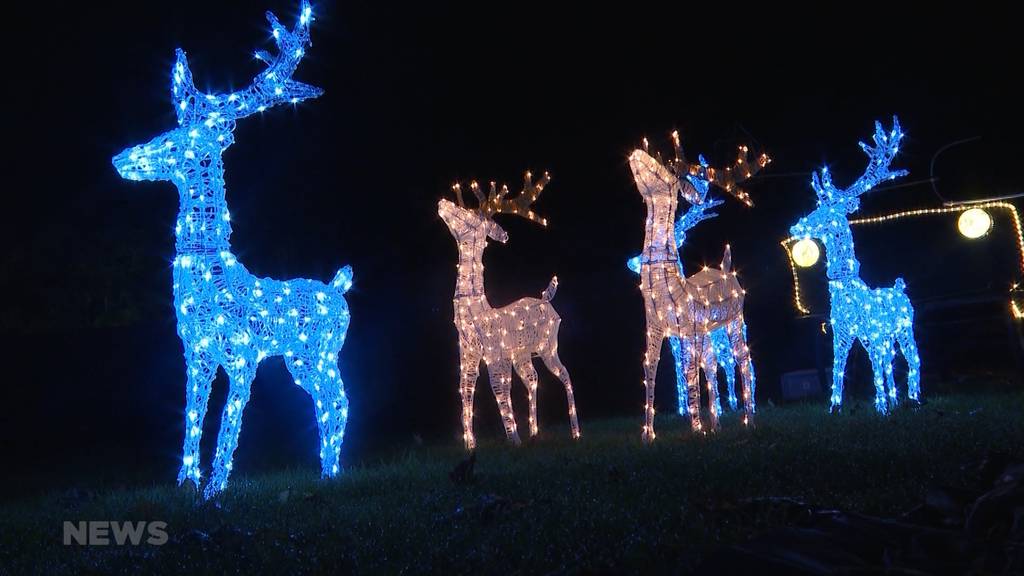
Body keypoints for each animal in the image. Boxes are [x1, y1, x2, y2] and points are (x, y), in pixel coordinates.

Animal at [109, 5, 352, 498]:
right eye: (170, 127)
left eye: (180, 140)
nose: (122, 158)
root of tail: (339, 289)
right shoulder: (196, 354)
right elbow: (192, 417)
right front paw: (184, 483)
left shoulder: (243, 354)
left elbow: (228, 420)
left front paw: (215, 489)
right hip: (301, 359)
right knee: (329, 400)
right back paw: (328, 471)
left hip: (319, 351)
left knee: (340, 399)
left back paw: (332, 475)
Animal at [436, 171, 581, 448]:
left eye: (470, 216)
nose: (442, 202)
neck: (476, 314)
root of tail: (547, 299)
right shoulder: (468, 355)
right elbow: (466, 390)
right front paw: (470, 445)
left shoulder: (496, 354)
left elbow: (499, 389)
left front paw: (513, 439)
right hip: (523, 355)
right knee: (533, 378)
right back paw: (534, 432)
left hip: (548, 346)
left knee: (566, 374)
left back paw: (575, 432)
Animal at [630, 133, 770, 438]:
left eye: (669, 170)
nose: (635, 153)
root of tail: (728, 268)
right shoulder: (655, 327)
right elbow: (650, 372)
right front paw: (648, 434)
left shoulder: (687, 329)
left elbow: (689, 374)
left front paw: (696, 429)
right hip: (707, 332)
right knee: (713, 363)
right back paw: (717, 424)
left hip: (733, 321)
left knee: (743, 359)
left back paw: (750, 419)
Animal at [786, 117, 925, 412]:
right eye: (817, 207)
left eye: (830, 212)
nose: (796, 226)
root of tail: (899, 287)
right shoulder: (841, 335)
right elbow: (838, 371)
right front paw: (834, 408)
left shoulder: (870, 332)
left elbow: (874, 370)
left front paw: (881, 408)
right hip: (886, 336)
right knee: (889, 362)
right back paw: (896, 399)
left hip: (904, 328)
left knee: (912, 360)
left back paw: (914, 399)